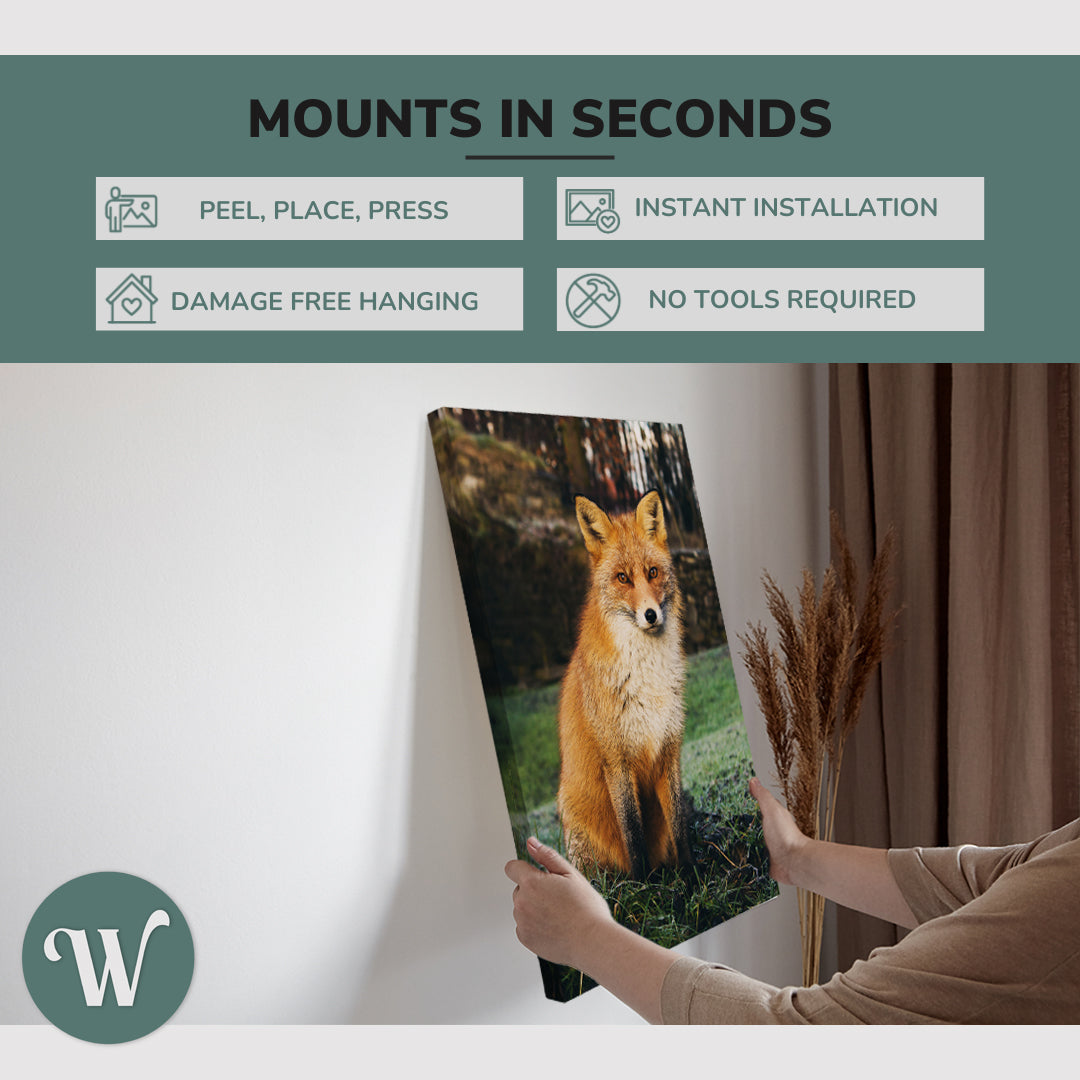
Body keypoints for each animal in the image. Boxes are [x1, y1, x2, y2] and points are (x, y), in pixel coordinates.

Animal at [556, 489, 691, 878]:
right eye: (622, 578)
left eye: (652, 572)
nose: (651, 615)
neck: (646, 677)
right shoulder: (616, 761)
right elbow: (633, 834)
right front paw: (649, 886)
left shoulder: (669, 747)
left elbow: (680, 828)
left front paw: (693, 876)